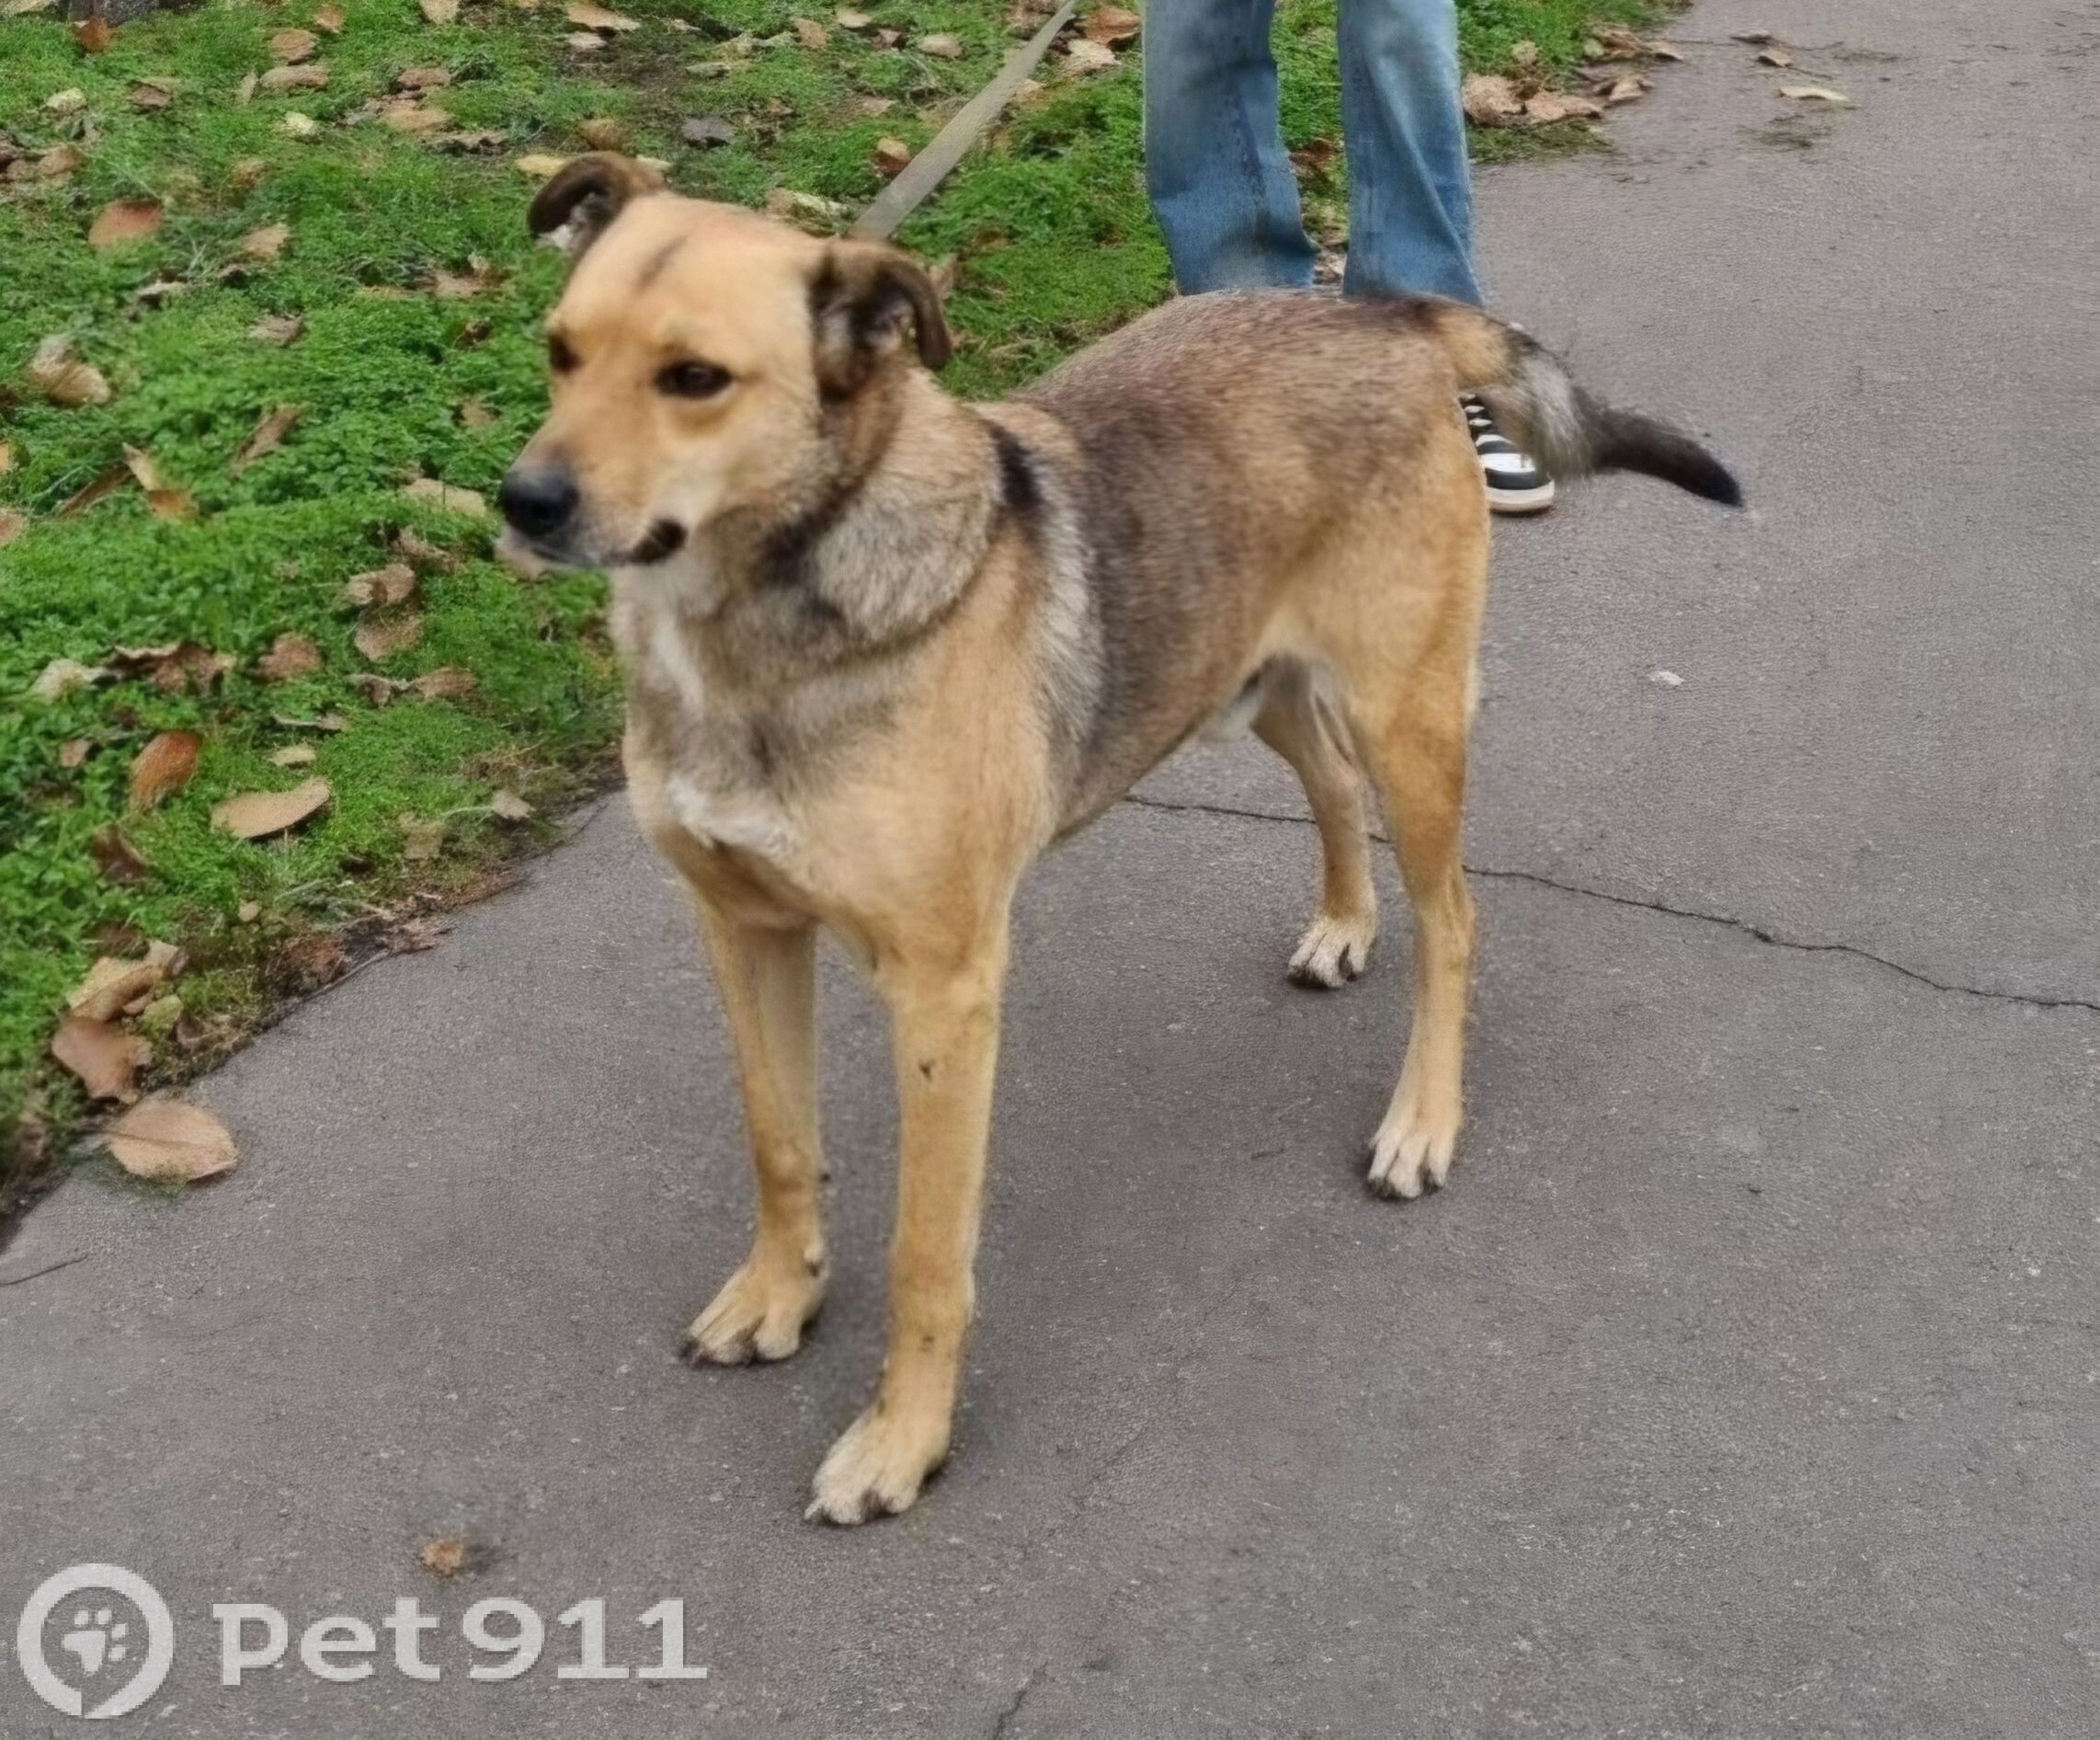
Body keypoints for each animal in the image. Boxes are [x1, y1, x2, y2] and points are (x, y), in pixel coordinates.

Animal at [501, 155, 1741, 1524]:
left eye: (694, 379)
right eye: (561, 352)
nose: (523, 502)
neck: (764, 620)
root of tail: (1390, 316)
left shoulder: (943, 993)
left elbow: (926, 1250)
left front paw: (901, 1441)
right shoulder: (742, 928)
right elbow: (779, 1144)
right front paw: (780, 1294)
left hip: (1405, 718)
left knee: (1455, 917)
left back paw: (1421, 1121)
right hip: (1239, 679)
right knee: (1328, 781)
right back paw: (1343, 923)